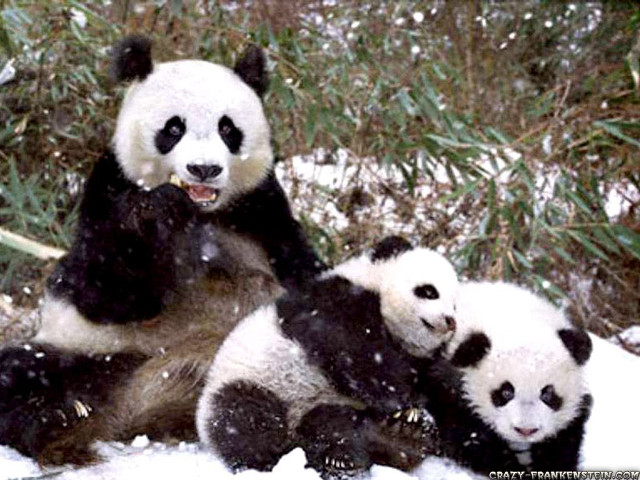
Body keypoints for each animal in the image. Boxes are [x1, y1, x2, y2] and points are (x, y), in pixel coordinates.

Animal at [0, 35, 324, 465]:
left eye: (227, 128)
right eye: (174, 127)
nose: (204, 169)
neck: (202, 210)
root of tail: (142, 412)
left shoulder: (263, 209)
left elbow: (306, 276)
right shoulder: (110, 188)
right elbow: (106, 290)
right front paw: (159, 212)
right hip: (97, 353)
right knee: (22, 372)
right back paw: (61, 423)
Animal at [196, 236, 459, 476]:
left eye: (455, 304)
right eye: (429, 291)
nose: (450, 321)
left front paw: (415, 413)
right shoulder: (334, 303)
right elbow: (355, 354)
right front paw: (406, 402)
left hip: (327, 404)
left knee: (333, 425)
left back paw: (391, 442)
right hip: (254, 382)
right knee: (245, 416)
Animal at [421, 281, 593, 474]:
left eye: (547, 393)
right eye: (506, 392)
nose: (526, 430)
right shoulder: (447, 381)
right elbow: (466, 435)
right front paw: (511, 465)